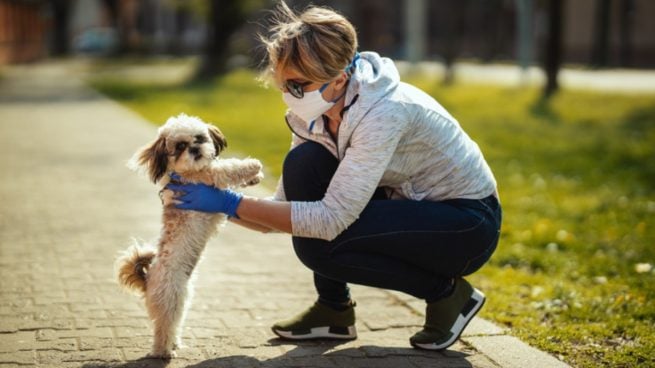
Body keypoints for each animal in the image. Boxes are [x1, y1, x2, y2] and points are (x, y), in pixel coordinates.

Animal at [116, 113, 262, 358]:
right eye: (179, 147)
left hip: (182, 298)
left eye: (200, 137)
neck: (184, 173)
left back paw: (174, 343)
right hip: (171, 300)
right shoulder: (208, 177)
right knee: (163, 328)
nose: (195, 149)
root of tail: (148, 279)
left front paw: (255, 178)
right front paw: (253, 166)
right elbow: (226, 167)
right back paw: (164, 352)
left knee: (173, 325)